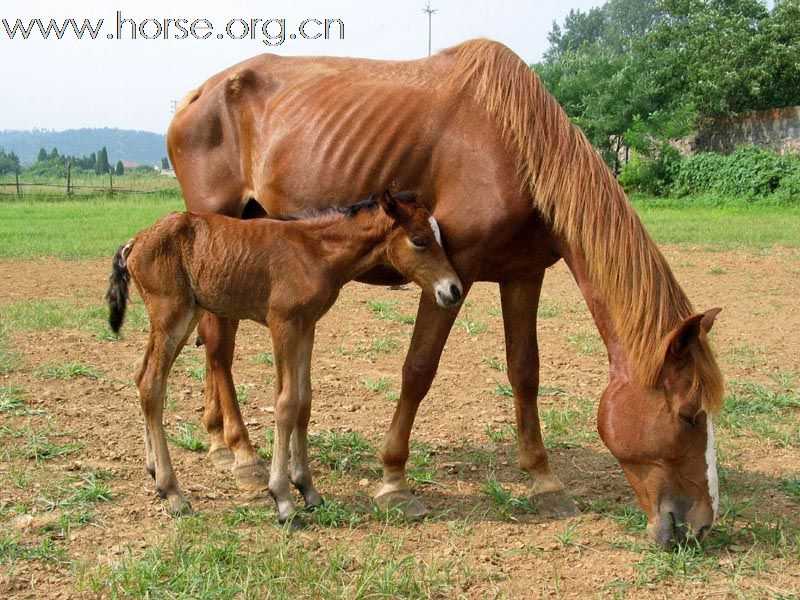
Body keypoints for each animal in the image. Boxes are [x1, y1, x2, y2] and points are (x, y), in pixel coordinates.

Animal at [109, 190, 466, 524]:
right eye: (419, 240)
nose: (453, 290)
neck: (315, 251)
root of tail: (134, 242)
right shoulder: (282, 324)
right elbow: (285, 403)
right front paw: (282, 499)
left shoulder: (307, 327)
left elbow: (304, 402)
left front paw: (308, 488)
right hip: (172, 314)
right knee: (152, 384)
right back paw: (173, 492)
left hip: (187, 315)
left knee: (142, 374)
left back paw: (154, 473)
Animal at [167, 36, 724, 544]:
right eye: (690, 416)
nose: (699, 524)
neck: (514, 146)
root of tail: (197, 94)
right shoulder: (451, 279)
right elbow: (418, 370)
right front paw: (394, 480)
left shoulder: (523, 276)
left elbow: (525, 372)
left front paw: (543, 479)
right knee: (219, 346)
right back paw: (241, 454)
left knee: (218, 341)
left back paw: (217, 440)